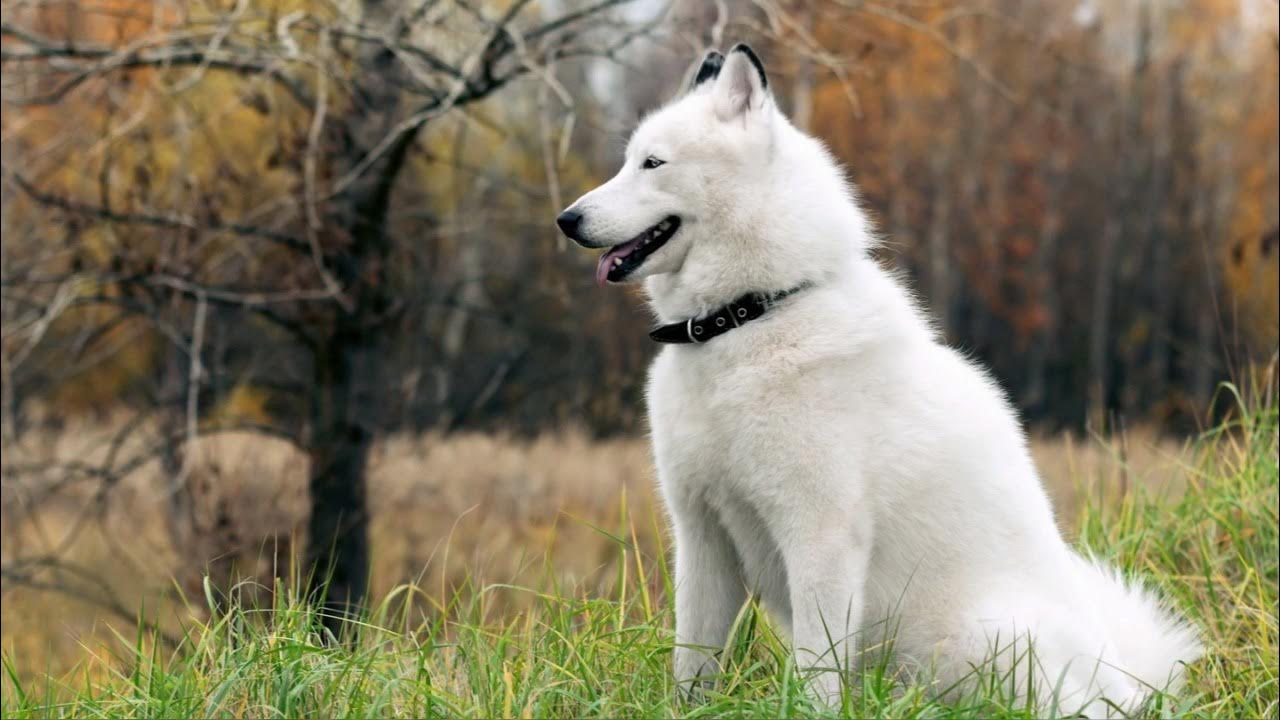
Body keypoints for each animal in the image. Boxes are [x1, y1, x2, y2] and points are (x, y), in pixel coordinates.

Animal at [555, 43, 1203, 712]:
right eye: (628, 160)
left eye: (653, 163)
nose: (566, 219)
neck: (748, 319)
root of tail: (1124, 686)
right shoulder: (702, 536)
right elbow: (693, 664)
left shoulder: (820, 536)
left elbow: (817, 670)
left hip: (977, 640)